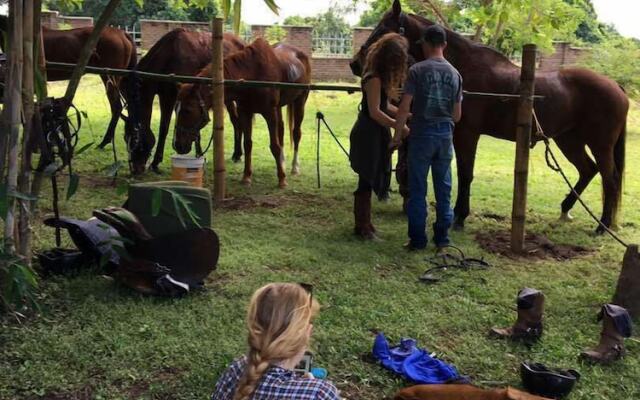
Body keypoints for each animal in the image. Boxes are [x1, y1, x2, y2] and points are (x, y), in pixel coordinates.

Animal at [112, 29, 245, 173]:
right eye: (125, 138)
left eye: (135, 139)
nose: (135, 169)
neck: (168, 56)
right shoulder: (169, 96)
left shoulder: (172, 97)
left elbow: (164, 128)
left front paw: (156, 162)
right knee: (236, 120)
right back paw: (237, 154)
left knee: (237, 120)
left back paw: (237, 154)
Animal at [175, 37, 310, 188]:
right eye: (176, 109)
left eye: (187, 110)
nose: (177, 145)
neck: (252, 74)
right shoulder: (246, 112)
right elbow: (248, 144)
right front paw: (246, 176)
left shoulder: (269, 113)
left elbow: (274, 146)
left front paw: (282, 179)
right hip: (279, 108)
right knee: (281, 130)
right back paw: (283, 162)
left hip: (300, 101)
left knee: (296, 133)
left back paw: (294, 167)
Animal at [350, 0, 624, 233]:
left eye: (384, 28)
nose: (355, 63)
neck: (462, 68)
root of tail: (616, 87)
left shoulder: (467, 134)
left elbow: (465, 174)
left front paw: (459, 216)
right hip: (569, 140)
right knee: (588, 170)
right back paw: (567, 209)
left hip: (599, 145)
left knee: (609, 179)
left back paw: (602, 225)